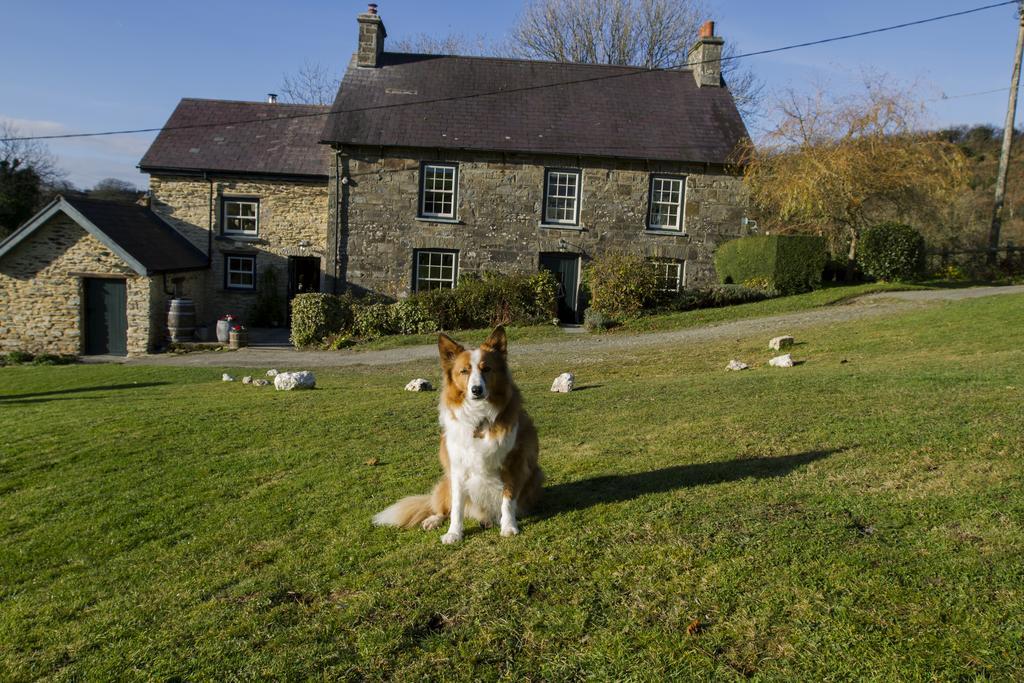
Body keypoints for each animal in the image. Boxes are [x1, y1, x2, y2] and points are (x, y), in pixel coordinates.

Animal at [370, 325, 544, 544]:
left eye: (487, 369)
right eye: (464, 371)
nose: (476, 390)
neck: (479, 417)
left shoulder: (514, 463)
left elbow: (507, 500)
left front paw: (509, 526)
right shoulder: (458, 468)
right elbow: (457, 508)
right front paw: (454, 533)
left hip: (536, 474)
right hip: (447, 480)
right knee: (443, 508)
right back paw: (434, 520)